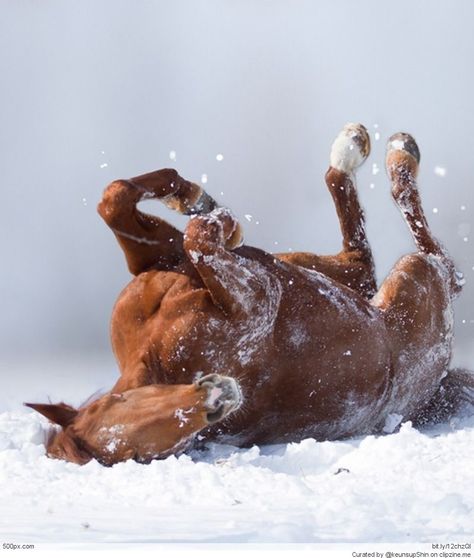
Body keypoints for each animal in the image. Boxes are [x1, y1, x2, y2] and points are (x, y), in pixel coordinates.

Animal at [25, 123, 470, 468]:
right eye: (141, 454)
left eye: (118, 404)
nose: (216, 394)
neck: (154, 353)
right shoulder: (257, 299)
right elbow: (198, 237)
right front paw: (219, 220)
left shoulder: (161, 260)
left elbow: (116, 200)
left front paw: (197, 200)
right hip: (415, 278)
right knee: (434, 264)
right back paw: (392, 155)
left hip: (323, 270)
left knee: (362, 260)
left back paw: (358, 147)